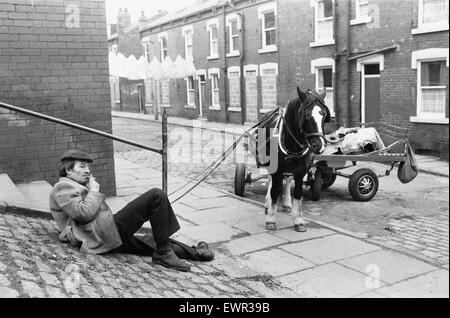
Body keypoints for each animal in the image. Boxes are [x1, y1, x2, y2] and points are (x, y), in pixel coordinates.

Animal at [256, 85, 330, 232]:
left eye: (324, 115)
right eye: (306, 115)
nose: (320, 145)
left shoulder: (301, 170)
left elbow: (298, 192)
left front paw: (298, 220)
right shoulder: (276, 168)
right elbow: (274, 190)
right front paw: (271, 219)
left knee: (287, 179)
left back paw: (286, 204)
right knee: (271, 181)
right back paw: (268, 204)